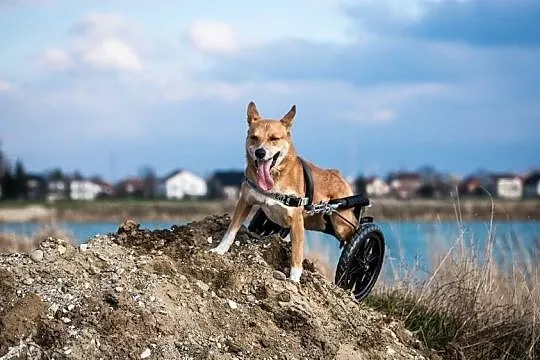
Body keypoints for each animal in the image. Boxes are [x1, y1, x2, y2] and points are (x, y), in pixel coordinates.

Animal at [211, 100, 358, 282]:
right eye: (254, 137)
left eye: (274, 138)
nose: (260, 152)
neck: (275, 180)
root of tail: (337, 174)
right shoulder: (245, 202)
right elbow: (231, 230)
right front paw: (220, 249)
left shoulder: (296, 221)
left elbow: (296, 253)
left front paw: (294, 279)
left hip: (341, 224)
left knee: (357, 231)